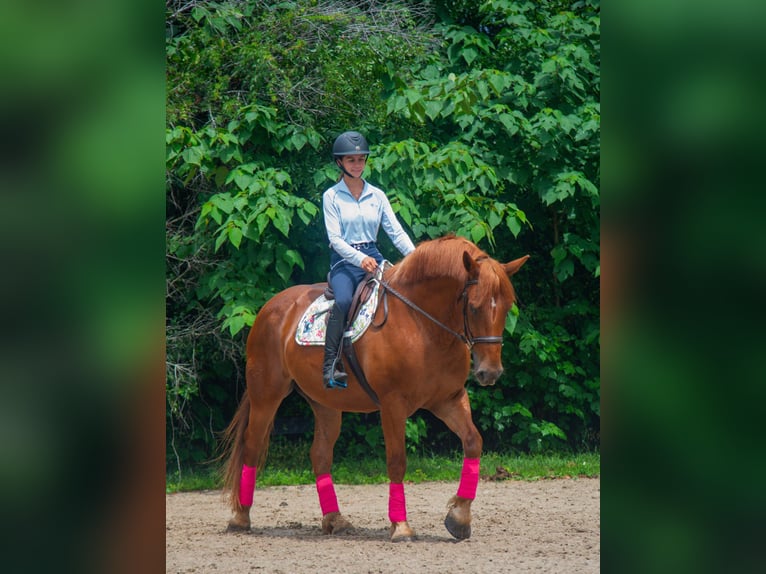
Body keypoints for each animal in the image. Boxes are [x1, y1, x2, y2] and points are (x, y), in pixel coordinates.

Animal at [221, 234, 529, 541]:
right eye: (474, 306)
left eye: (507, 307)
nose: (490, 372)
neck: (422, 325)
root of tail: (271, 307)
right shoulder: (393, 404)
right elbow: (397, 460)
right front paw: (401, 526)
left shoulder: (449, 399)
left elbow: (473, 442)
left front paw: (459, 517)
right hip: (266, 394)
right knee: (252, 446)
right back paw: (240, 518)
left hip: (326, 403)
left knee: (320, 455)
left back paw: (335, 519)